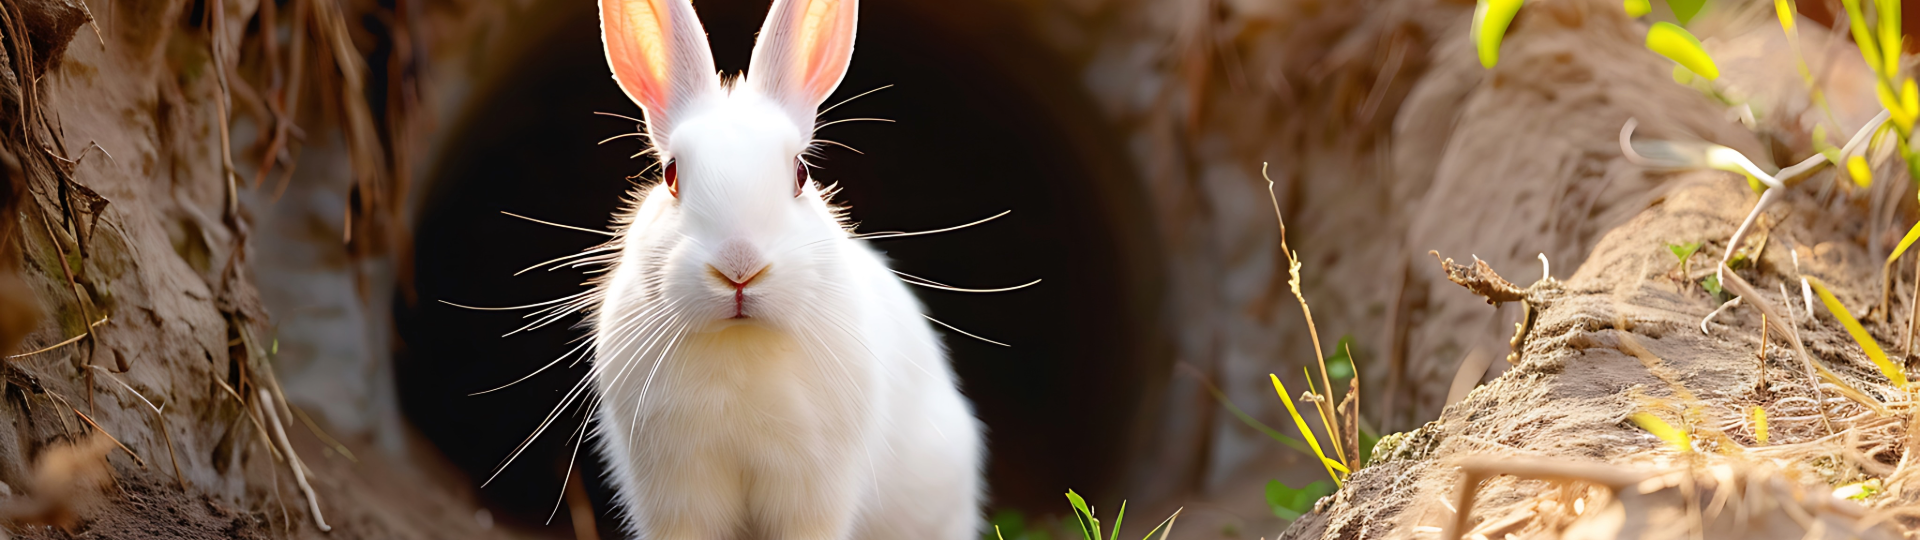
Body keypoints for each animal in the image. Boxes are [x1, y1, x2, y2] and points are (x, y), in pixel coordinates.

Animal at [583, 0, 983, 534]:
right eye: (670, 176)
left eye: (801, 173)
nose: (740, 267)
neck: (739, 342)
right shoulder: (676, 492)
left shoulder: (813, 489)